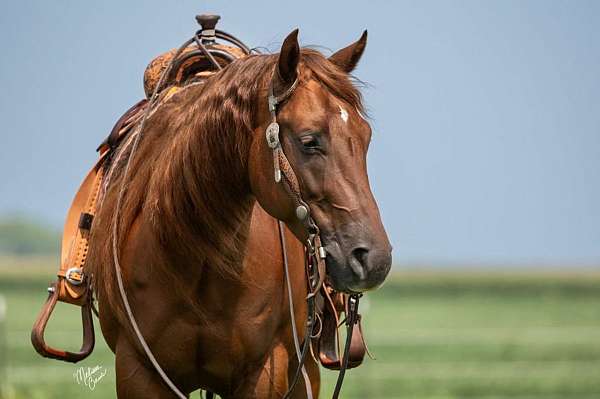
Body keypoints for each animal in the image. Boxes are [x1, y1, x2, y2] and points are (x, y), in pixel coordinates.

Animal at [86, 29, 392, 398]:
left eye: (365, 138)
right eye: (309, 141)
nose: (374, 259)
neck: (195, 261)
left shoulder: (264, 370)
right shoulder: (137, 370)